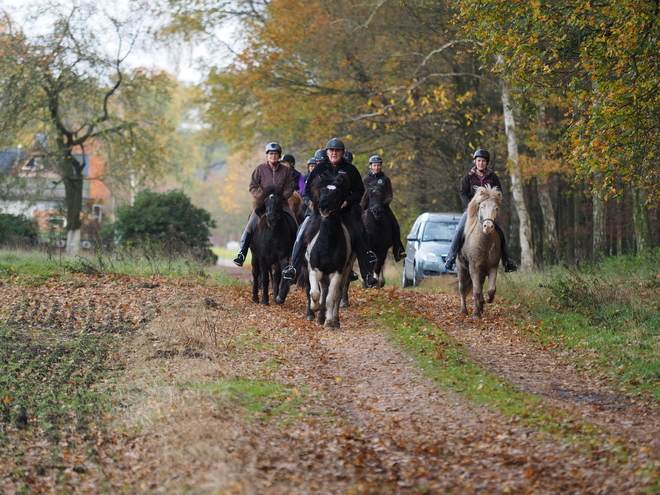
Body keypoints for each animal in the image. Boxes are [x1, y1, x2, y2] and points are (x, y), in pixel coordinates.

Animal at [304, 174, 356, 330]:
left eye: (337, 193)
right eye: (321, 191)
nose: (323, 206)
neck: (327, 243)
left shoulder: (337, 273)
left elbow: (330, 299)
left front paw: (329, 323)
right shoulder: (314, 269)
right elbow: (315, 293)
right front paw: (315, 308)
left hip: (345, 272)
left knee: (337, 294)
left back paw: (335, 320)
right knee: (323, 291)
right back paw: (320, 317)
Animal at [456, 185, 502, 318]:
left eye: (496, 208)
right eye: (482, 206)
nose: (488, 227)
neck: (484, 243)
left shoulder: (493, 267)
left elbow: (491, 289)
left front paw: (487, 299)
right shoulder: (474, 268)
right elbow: (475, 291)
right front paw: (476, 314)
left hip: (482, 273)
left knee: (481, 286)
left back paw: (481, 305)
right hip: (461, 268)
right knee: (462, 288)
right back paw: (464, 311)